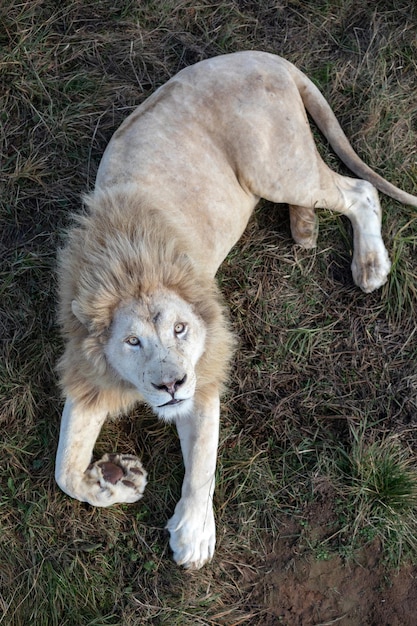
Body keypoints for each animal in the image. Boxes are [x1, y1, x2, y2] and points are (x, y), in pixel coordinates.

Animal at [56, 51, 416, 568]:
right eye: (131, 341)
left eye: (181, 329)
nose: (170, 385)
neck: (133, 267)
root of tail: (263, 56)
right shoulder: (89, 373)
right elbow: (64, 471)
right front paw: (116, 479)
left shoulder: (205, 366)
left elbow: (203, 460)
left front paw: (193, 535)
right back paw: (304, 229)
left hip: (277, 166)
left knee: (361, 190)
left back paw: (369, 265)